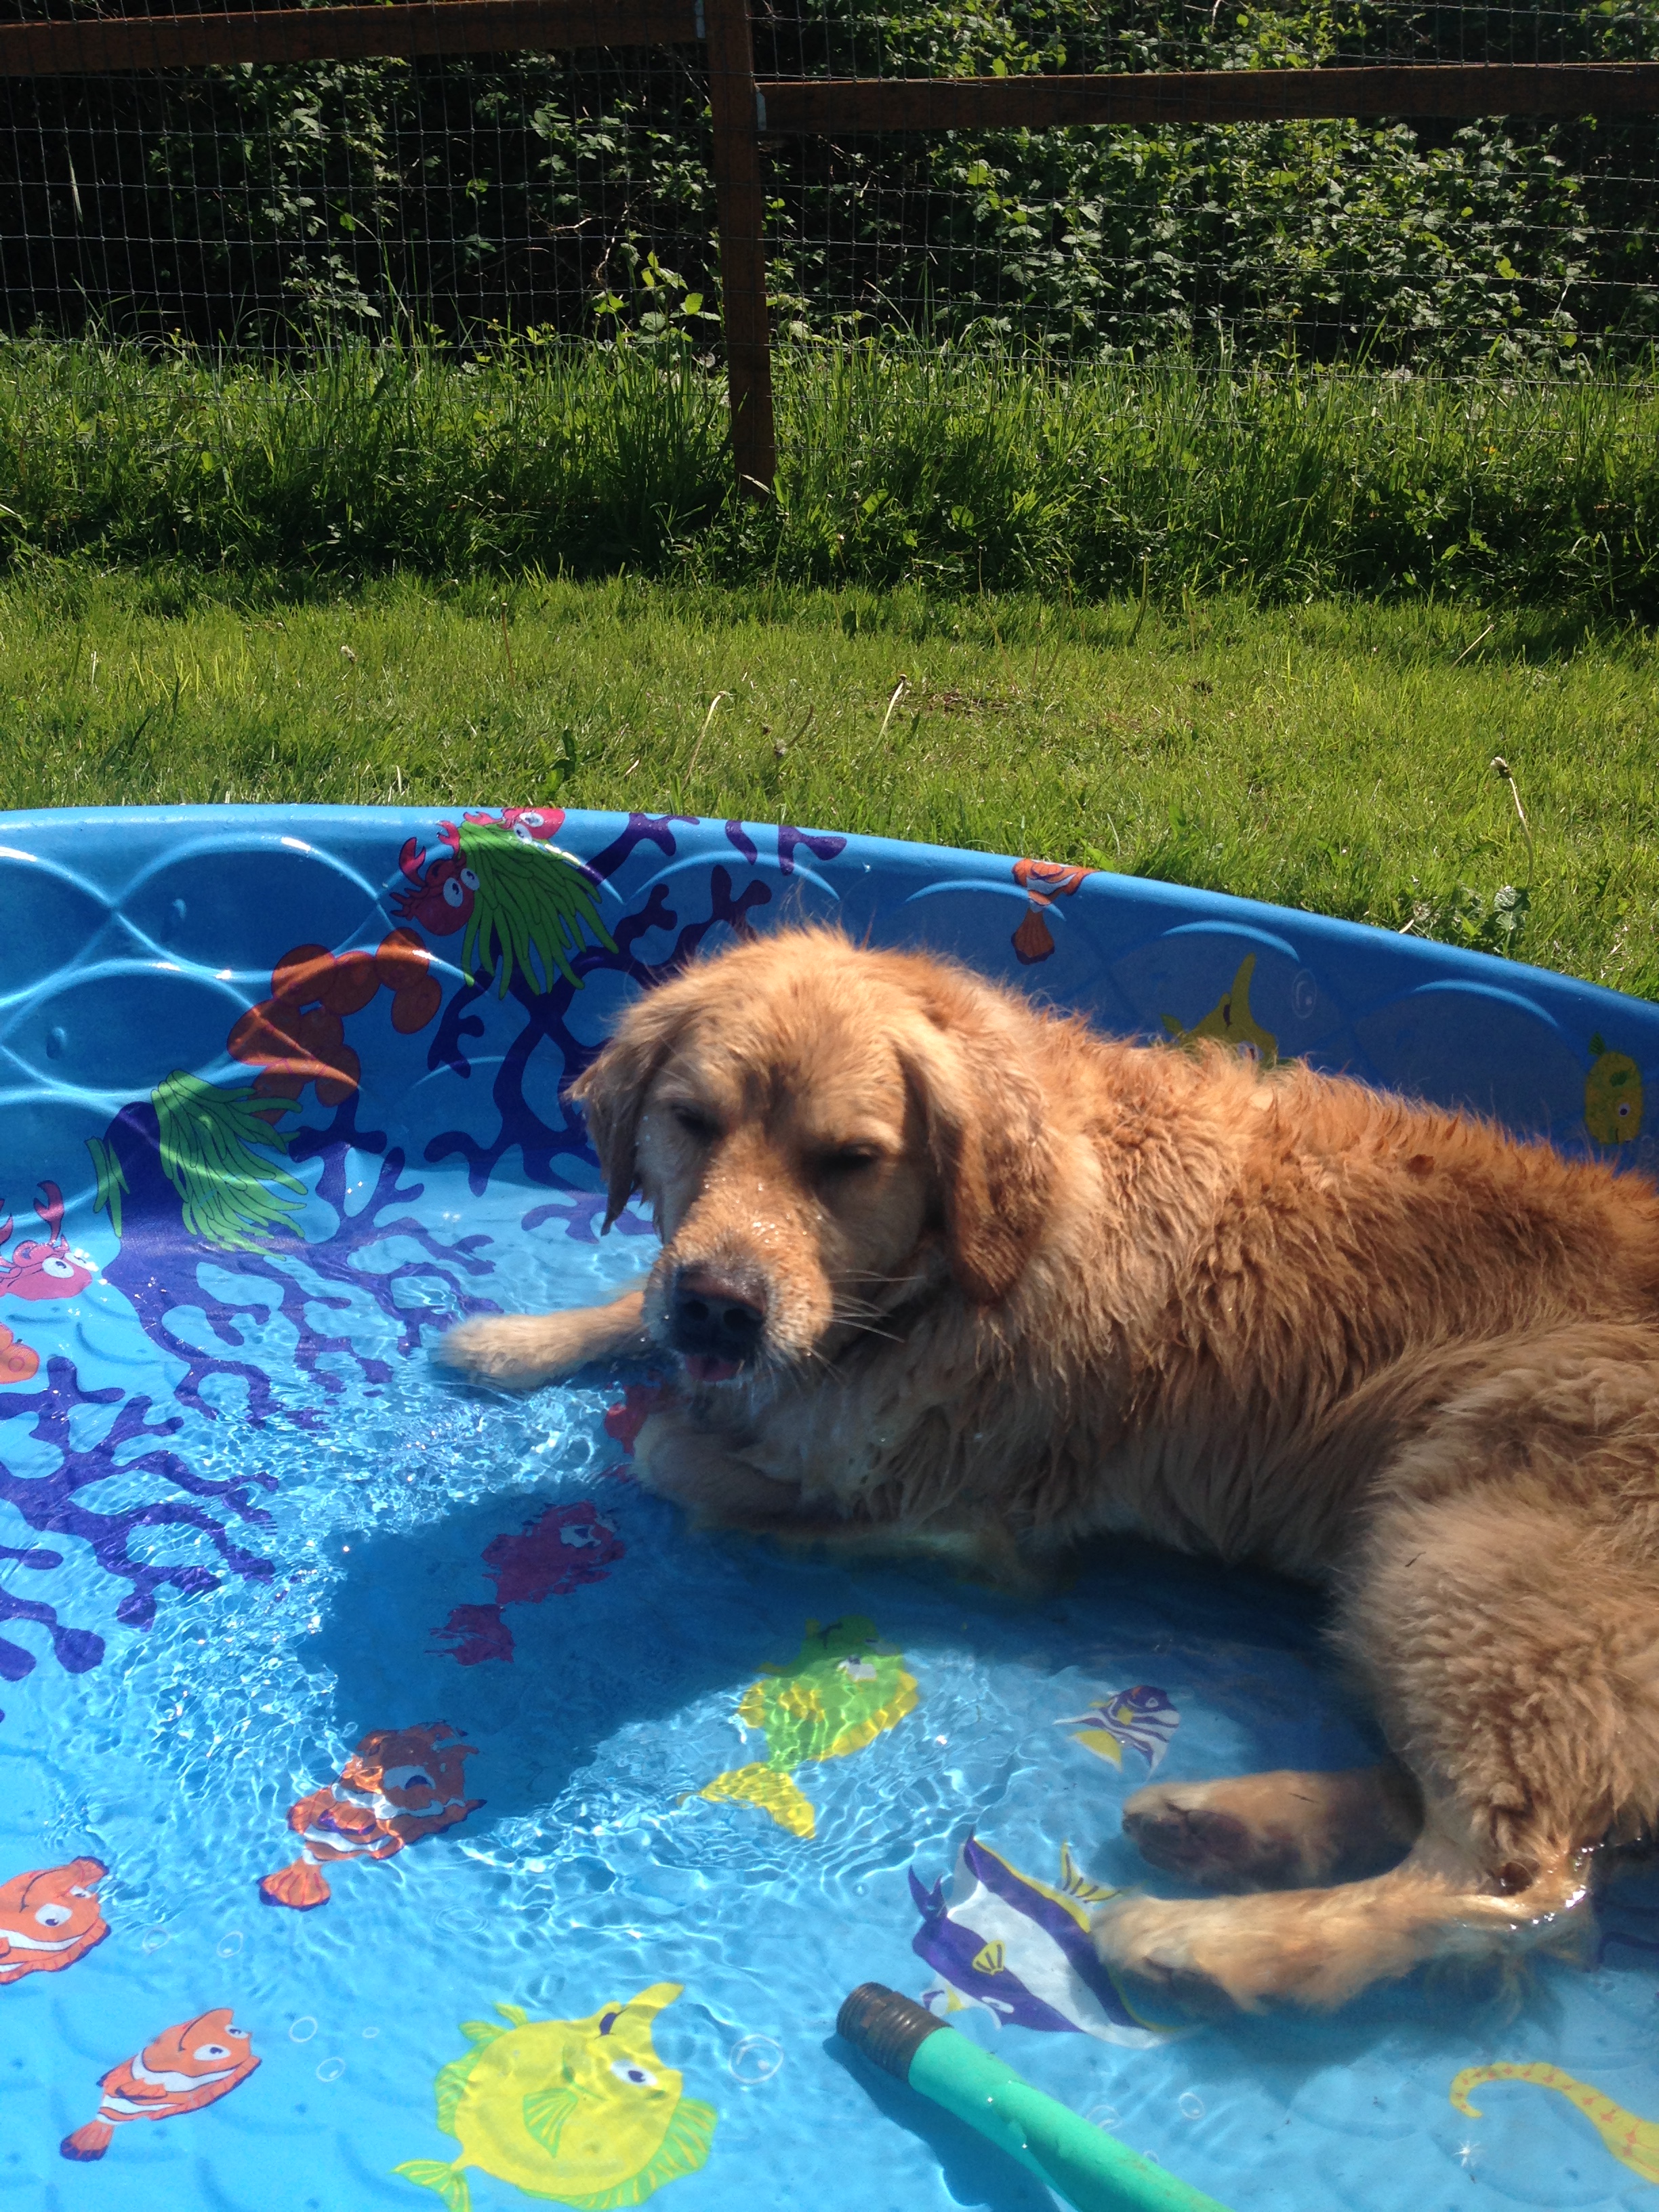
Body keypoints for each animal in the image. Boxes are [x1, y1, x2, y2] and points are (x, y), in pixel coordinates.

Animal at [438, 925, 1659, 2016]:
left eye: (849, 1161)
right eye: (691, 1121)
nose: (721, 1309)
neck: (942, 1274)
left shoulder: (962, 1506)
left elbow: (671, 1452)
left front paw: (686, 1434)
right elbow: (639, 1306)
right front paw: (521, 1338)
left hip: (1465, 1549)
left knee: (1514, 1874)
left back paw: (1212, 1944)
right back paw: (1231, 1828)